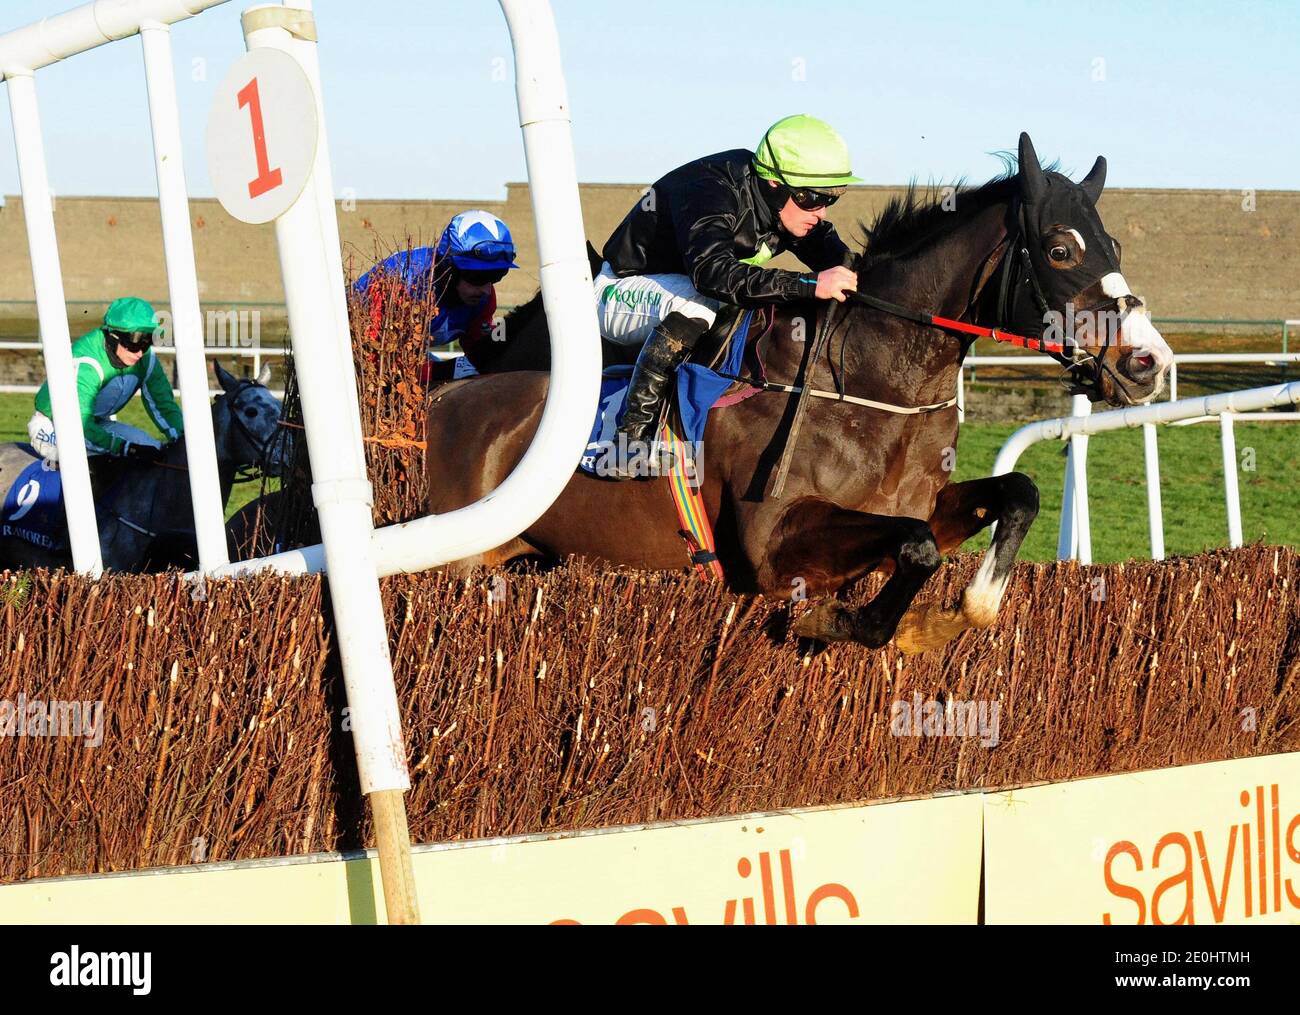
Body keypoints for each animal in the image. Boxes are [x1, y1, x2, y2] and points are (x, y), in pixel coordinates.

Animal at [421, 132, 1175, 649]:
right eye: (1060, 249)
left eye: (1113, 245)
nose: (1148, 361)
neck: (873, 383)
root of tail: (447, 399)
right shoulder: (774, 549)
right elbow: (913, 549)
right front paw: (846, 621)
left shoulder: (920, 503)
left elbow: (1016, 493)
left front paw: (966, 609)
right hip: (462, 561)